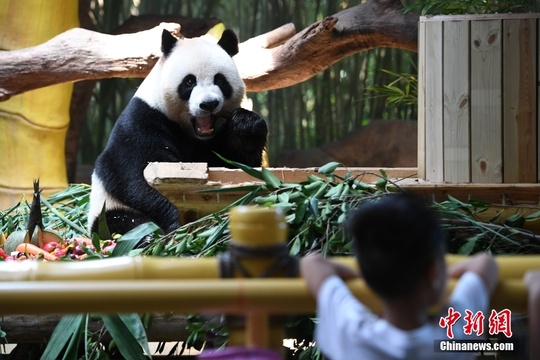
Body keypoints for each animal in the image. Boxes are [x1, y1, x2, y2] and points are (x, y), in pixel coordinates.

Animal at [87, 28, 270, 236]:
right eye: (189, 81)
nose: (209, 104)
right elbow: (138, 176)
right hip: (107, 207)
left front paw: (246, 126)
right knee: (119, 222)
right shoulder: (142, 121)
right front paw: (176, 221)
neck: (192, 132)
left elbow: (239, 167)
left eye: (220, 80)